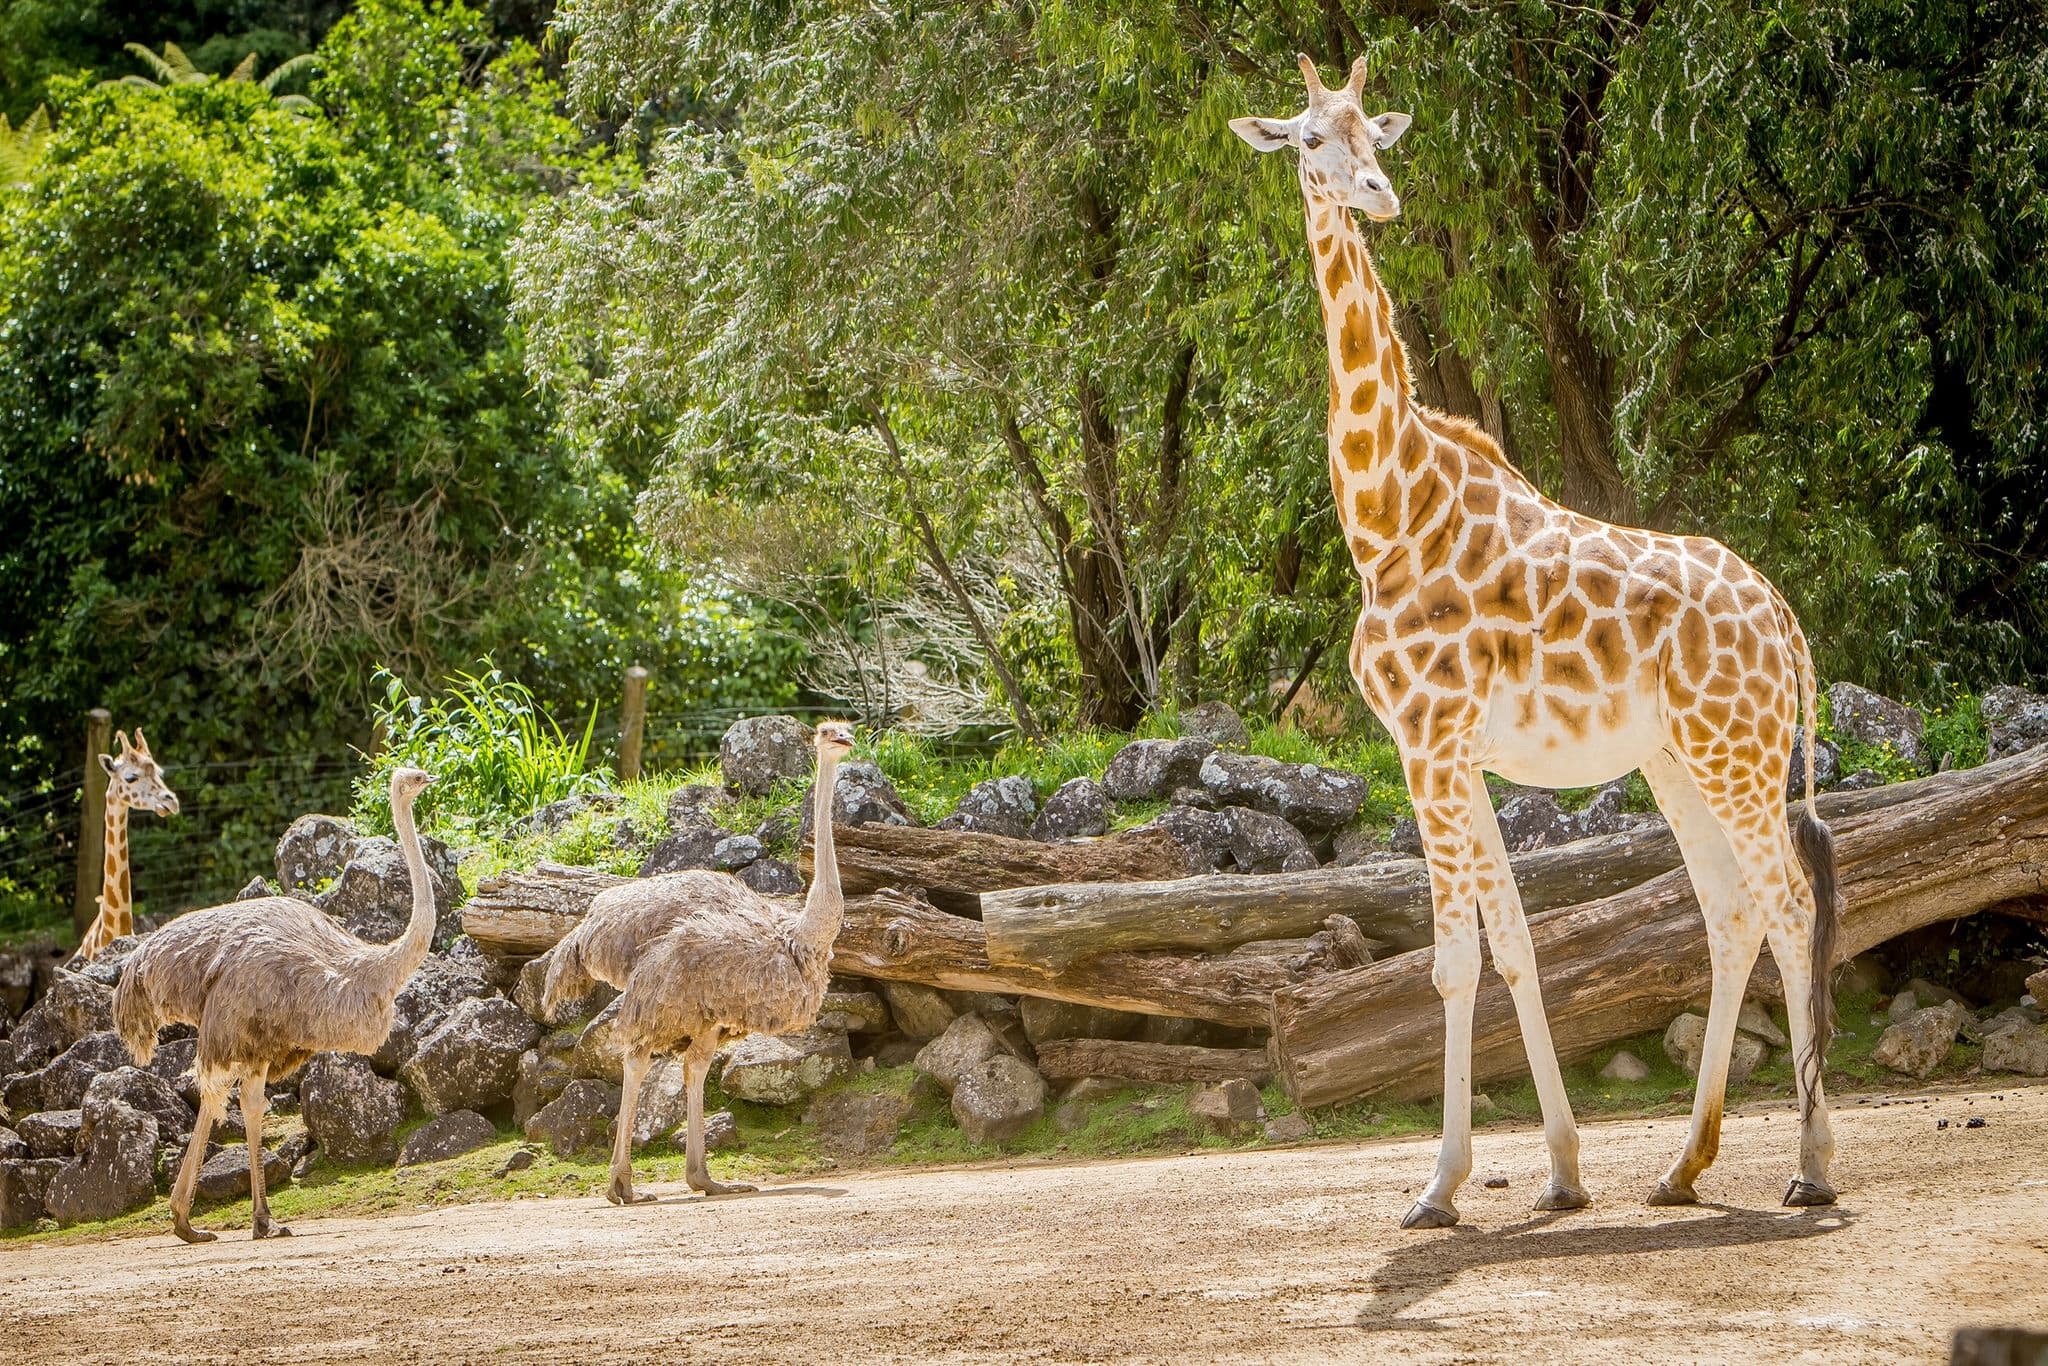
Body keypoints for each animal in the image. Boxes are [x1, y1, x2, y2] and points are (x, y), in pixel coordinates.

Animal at [1232, 56, 1841, 1228]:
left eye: (1372, 134)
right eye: (1307, 140)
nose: (1377, 195)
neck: (1388, 516)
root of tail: (1784, 618)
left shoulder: (1426, 743)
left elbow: (1452, 963)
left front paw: (1438, 1185)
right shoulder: (1451, 751)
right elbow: (1511, 949)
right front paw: (1559, 1171)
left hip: (1737, 755)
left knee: (1789, 905)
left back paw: (1810, 1163)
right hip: (1680, 758)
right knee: (1732, 910)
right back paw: (1682, 1164)